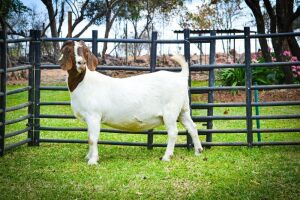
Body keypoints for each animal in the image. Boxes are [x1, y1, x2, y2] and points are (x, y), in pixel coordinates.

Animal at [59, 40, 204, 164]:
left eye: (85, 51)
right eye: (70, 51)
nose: (81, 63)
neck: (84, 82)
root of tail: (181, 76)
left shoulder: (93, 115)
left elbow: (92, 139)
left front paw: (93, 161)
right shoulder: (89, 118)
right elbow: (89, 136)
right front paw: (88, 157)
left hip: (170, 111)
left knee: (173, 132)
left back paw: (166, 156)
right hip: (183, 110)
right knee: (192, 127)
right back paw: (198, 151)